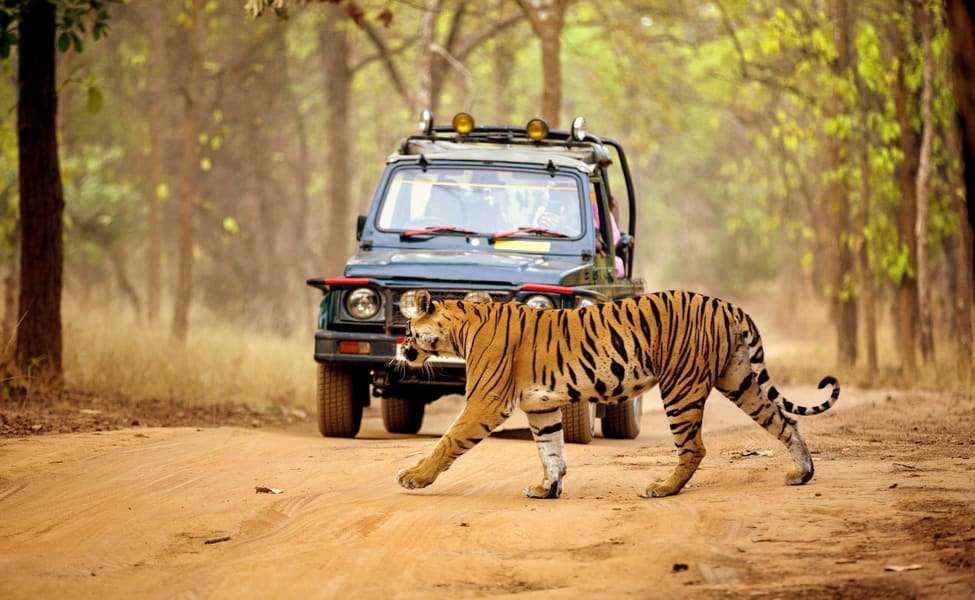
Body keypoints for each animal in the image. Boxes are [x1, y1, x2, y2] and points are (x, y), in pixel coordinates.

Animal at [395, 289, 839, 499]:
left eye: (408, 330)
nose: (401, 349)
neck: (460, 329)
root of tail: (726, 304)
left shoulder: (486, 402)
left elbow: (449, 440)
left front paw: (414, 477)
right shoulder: (541, 408)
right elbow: (551, 452)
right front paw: (547, 490)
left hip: (681, 386)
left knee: (694, 447)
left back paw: (662, 489)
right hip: (740, 380)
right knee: (784, 420)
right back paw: (802, 474)